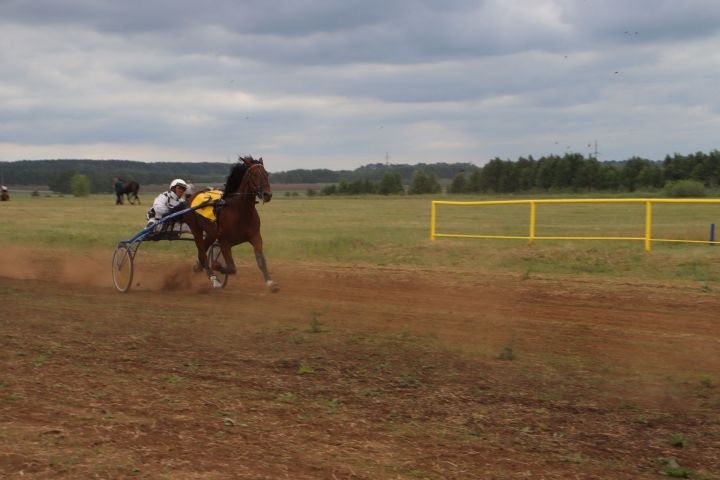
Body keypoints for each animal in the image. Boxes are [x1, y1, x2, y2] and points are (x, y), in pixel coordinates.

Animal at [183, 158, 278, 290]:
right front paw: (218, 267)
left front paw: (270, 283)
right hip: (196, 229)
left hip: (211, 233)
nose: (267, 194)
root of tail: (193, 196)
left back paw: (198, 267)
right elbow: (231, 267)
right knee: (202, 253)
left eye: (266, 174)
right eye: (254, 174)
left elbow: (261, 261)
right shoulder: (224, 241)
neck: (240, 211)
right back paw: (214, 280)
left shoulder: (255, 236)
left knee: (202, 251)